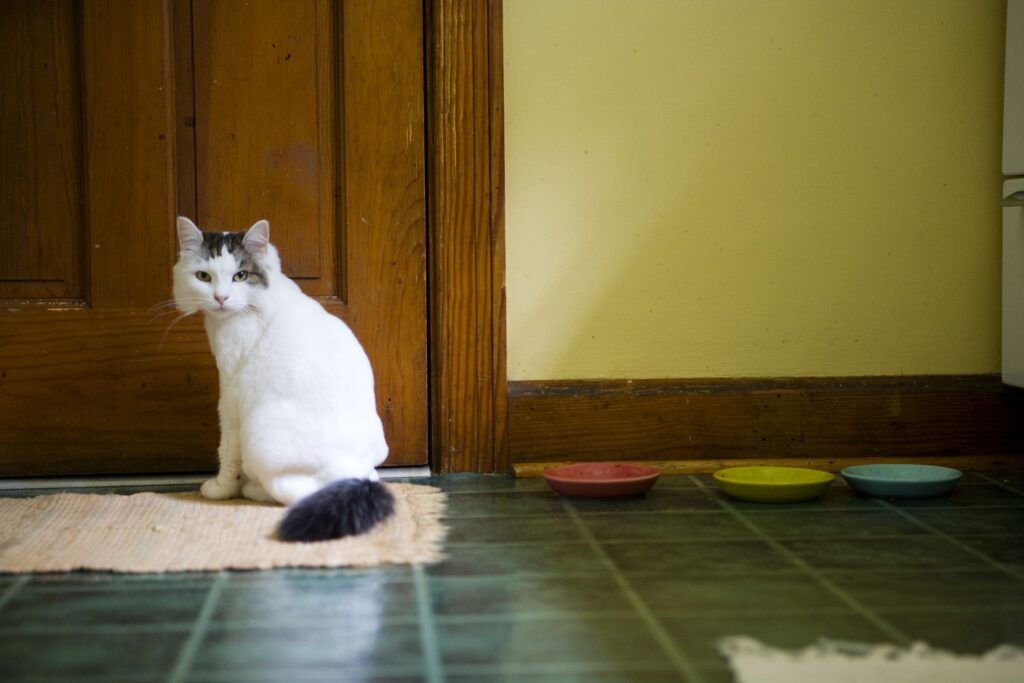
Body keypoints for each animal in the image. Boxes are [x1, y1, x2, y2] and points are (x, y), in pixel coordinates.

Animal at [169, 216, 393, 540]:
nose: (220, 297)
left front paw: (222, 488)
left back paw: (252, 489)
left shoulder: (231, 394)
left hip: (259, 431)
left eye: (240, 276)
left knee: (291, 491)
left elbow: (227, 449)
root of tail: (352, 475)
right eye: (203, 276)